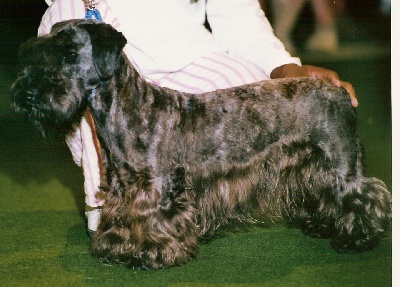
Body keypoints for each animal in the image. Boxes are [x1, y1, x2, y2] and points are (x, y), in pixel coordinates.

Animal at [10, 19, 390, 270]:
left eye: (69, 52)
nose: (24, 96)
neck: (129, 108)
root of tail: (339, 91)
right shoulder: (122, 184)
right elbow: (119, 216)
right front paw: (116, 247)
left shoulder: (156, 186)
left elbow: (153, 219)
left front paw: (153, 253)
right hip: (315, 167)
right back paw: (322, 225)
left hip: (340, 164)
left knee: (363, 195)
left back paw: (357, 238)